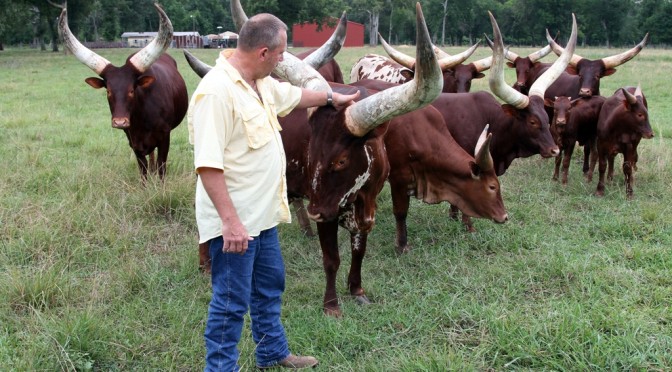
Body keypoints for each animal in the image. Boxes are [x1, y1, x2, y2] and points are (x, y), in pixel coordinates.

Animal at [58, 4, 188, 180]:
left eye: (132, 90)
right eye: (108, 91)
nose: (120, 122)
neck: (142, 118)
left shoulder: (165, 137)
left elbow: (162, 168)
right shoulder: (133, 141)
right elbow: (143, 170)